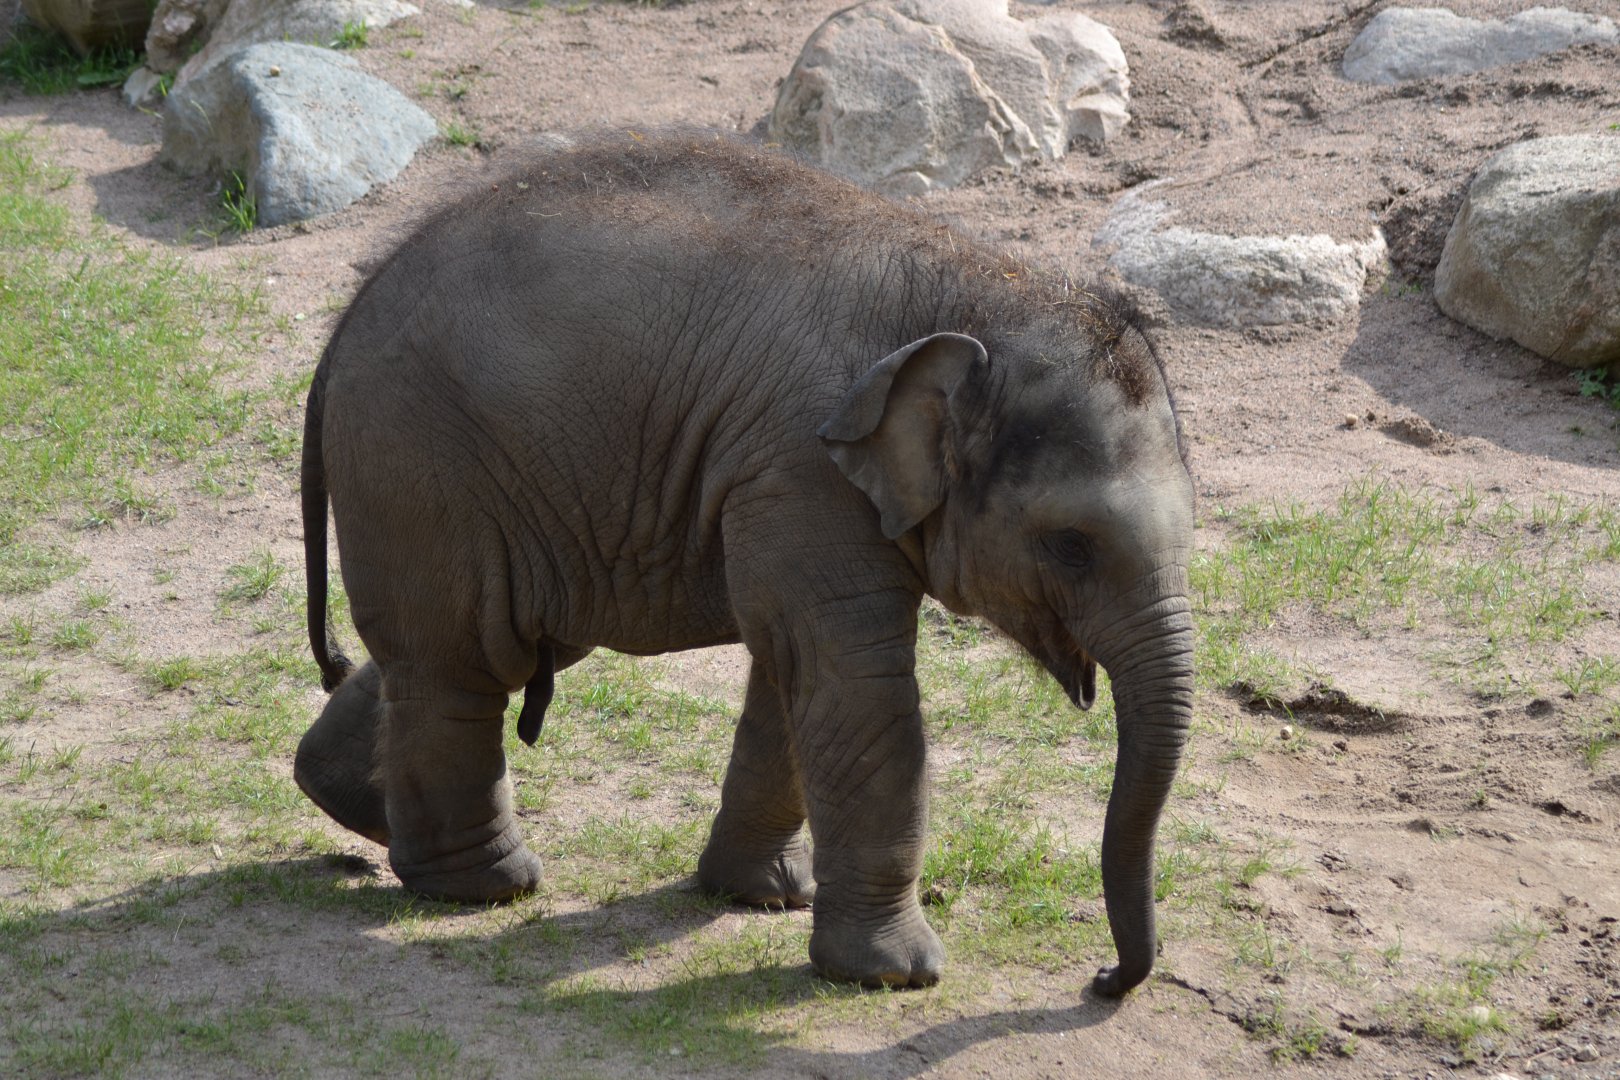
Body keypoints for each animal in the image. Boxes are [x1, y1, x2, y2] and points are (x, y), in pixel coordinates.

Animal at [295, 131, 1194, 996]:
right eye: (1071, 545)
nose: (1103, 978)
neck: (973, 286)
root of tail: (344, 321)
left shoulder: (780, 485)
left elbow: (787, 668)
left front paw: (761, 894)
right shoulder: (799, 466)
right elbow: (851, 677)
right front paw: (893, 974)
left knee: (483, 645)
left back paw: (352, 805)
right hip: (423, 468)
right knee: (465, 662)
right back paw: (486, 887)